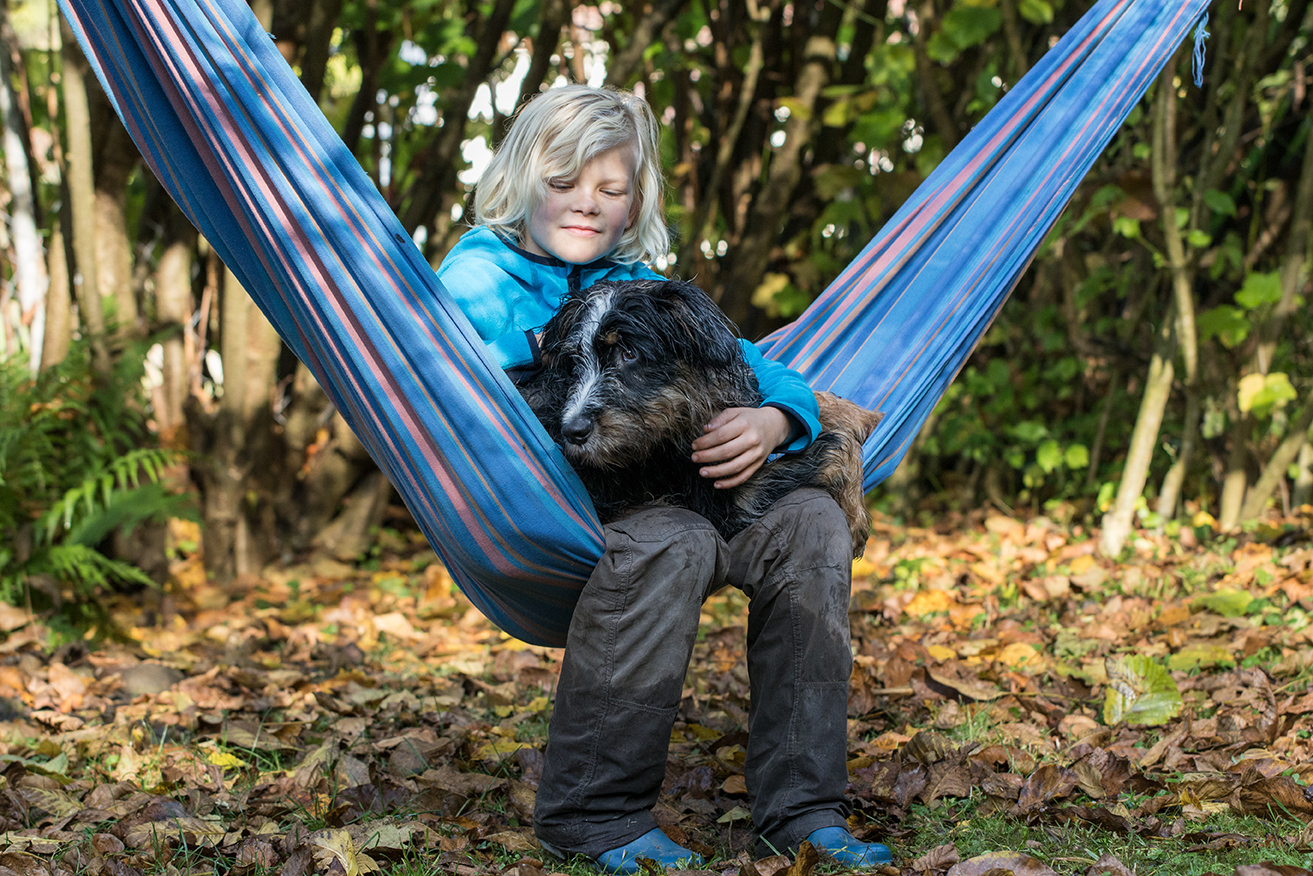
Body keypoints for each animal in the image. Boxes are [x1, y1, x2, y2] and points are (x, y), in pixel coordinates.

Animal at [516, 278, 883, 558]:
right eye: (574, 362)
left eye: (629, 352)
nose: (572, 431)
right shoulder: (726, 504)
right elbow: (835, 448)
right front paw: (856, 523)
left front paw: (860, 414)